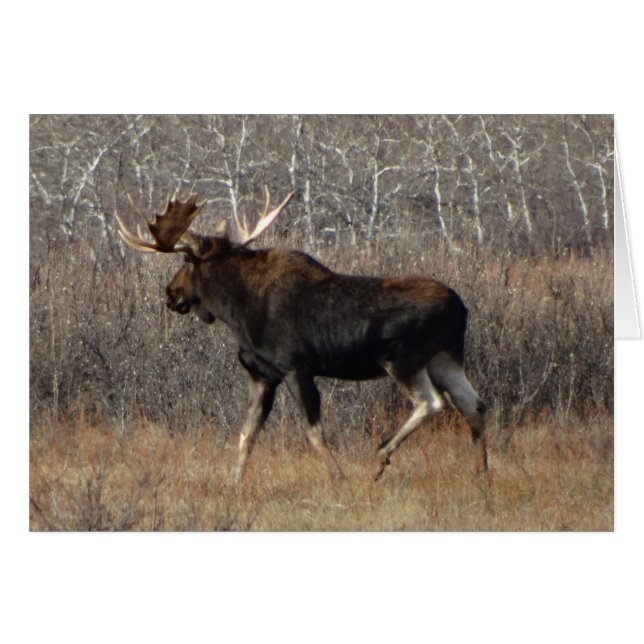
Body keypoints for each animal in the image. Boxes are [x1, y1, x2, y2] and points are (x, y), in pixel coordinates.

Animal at [115, 188, 487, 485]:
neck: (236, 309)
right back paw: (481, 472)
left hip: (404, 359)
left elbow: (313, 433)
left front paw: (339, 477)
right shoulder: (262, 376)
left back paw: (380, 457)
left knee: (432, 402)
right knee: (474, 404)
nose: (170, 294)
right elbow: (246, 435)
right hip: (444, 357)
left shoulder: (296, 368)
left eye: (187, 263)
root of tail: (461, 308)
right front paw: (234, 484)